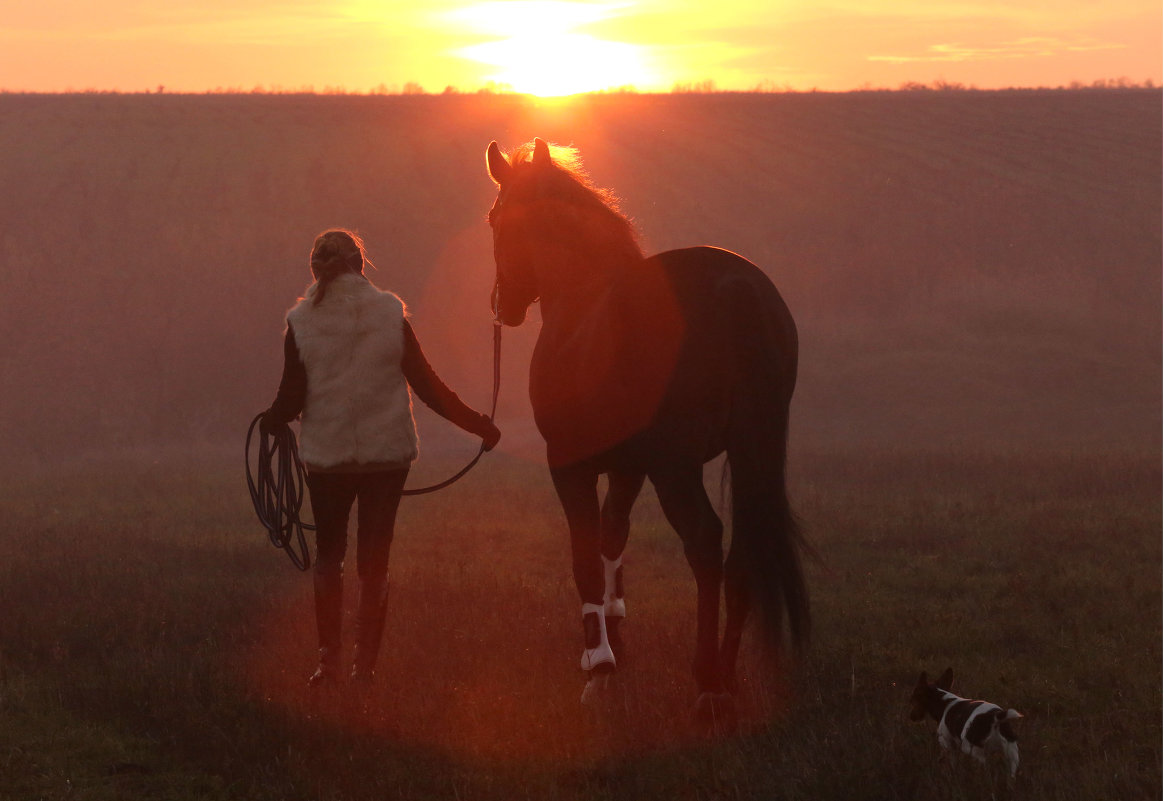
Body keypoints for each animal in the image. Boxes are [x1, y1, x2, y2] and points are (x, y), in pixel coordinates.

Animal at [484, 137, 810, 721]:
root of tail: (735, 286)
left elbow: (585, 552)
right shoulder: (627, 466)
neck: (583, 301)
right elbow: (614, 537)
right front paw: (613, 635)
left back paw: (708, 681)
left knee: (705, 542)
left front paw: (598, 664)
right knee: (741, 552)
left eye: (495, 219)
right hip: (752, 450)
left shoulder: (571, 464)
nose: (506, 304)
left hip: (676, 467)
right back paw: (726, 676)